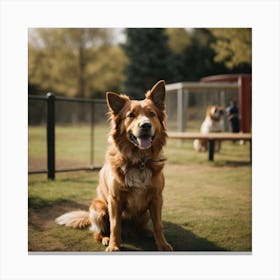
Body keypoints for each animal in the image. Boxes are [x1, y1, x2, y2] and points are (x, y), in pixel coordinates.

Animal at [55, 80, 172, 252]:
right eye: (130, 115)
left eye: (152, 114)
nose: (145, 125)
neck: (139, 161)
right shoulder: (115, 200)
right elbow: (115, 226)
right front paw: (113, 246)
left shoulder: (157, 198)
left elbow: (158, 225)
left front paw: (162, 244)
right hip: (99, 207)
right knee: (98, 232)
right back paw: (105, 238)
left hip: (144, 214)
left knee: (141, 228)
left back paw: (146, 232)